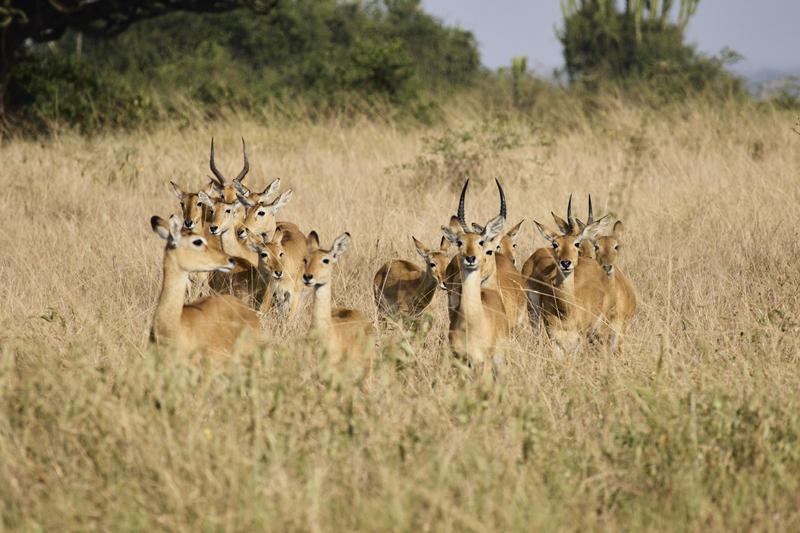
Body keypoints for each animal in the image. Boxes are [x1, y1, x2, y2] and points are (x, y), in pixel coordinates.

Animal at [440, 214, 510, 376]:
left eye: (481, 241)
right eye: (460, 242)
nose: (470, 258)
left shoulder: (485, 361)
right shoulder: (461, 360)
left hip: (499, 359)